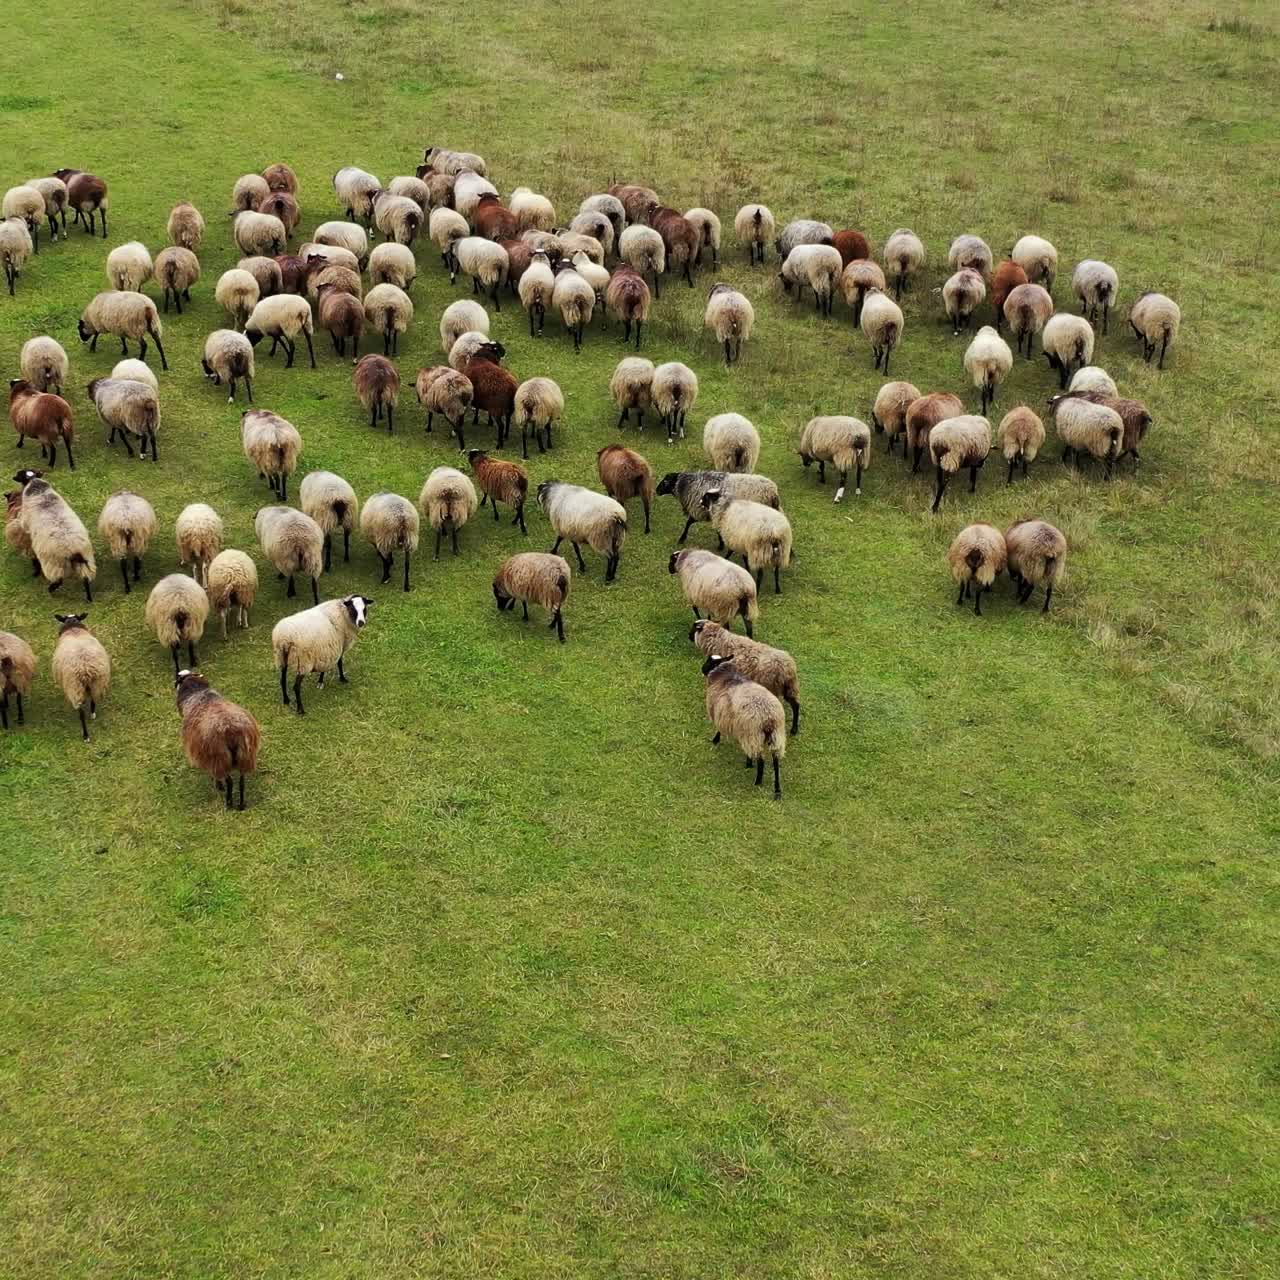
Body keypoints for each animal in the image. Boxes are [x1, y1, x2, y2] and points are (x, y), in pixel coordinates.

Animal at [173, 670, 260, 810]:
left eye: (178, 679)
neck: (198, 693)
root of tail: (231, 729)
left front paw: (218, 785)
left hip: (220, 758)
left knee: (229, 781)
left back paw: (228, 803)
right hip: (245, 755)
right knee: (242, 781)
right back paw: (241, 804)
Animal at [702, 654, 786, 799]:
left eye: (710, 661)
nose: (702, 669)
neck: (724, 675)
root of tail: (768, 717)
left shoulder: (720, 712)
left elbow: (719, 729)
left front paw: (715, 740)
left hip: (752, 733)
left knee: (761, 760)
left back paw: (757, 781)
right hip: (776, 736)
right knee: (775, 762)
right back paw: (777, 790)